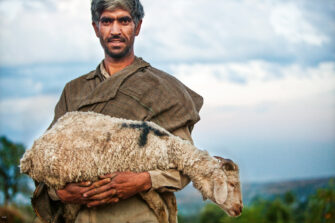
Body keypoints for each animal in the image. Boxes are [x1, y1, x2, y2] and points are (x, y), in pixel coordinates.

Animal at [19, 112, 243, 222]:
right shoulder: (141, 181)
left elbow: (172, 205)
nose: (239, 209)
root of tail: (27, 157)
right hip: (60, 179)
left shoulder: (155, 179)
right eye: (231, 185)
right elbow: (161, 209)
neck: (165, 145)